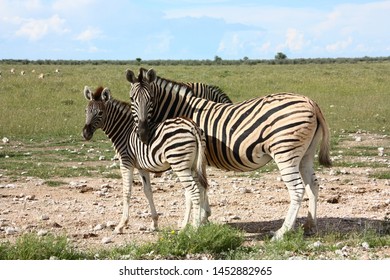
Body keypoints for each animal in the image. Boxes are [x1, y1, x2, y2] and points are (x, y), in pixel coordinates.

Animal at [82, 85, 210, 232]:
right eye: (86, 111)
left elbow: (126, 191)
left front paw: (121, 224)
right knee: (199, 189)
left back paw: (195, 228)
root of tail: (192, 126)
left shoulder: (125, 162)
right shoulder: (142, 167)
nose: (85, 134)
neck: (125, 131)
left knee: (194, 191)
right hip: (194, 164)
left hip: (180, 164)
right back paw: (187, 225)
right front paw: (154, 223)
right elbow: (148, 191)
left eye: (100, 113)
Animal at [126, 68, 330, 241]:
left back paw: (281, 232)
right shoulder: (199, 159)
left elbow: (194, 190)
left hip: (285, 152)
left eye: (151, 100)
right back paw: (310, 226)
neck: (183, 111)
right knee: (313, 185)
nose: (143, 133)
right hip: (306, 155)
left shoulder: (194, 155)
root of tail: (311, 103)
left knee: (297, 189)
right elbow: (203, 186)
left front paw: (196, 222)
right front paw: (204, 218)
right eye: (131, 99)